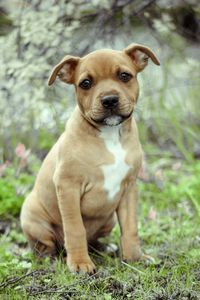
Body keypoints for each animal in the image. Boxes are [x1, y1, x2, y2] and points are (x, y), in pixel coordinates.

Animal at [19, 43, 159, 274]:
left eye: (124, 76)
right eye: (85, 83)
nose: (109, 100)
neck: (110, 135)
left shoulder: (129, 188)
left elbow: (130, 227)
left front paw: (135, 258)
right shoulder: (68, 187)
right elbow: (75, 229)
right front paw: (79, 263)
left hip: (109, 219)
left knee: (93, 239)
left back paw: (105, 247)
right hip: (32, 216)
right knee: (45, 244)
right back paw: (50, 258)